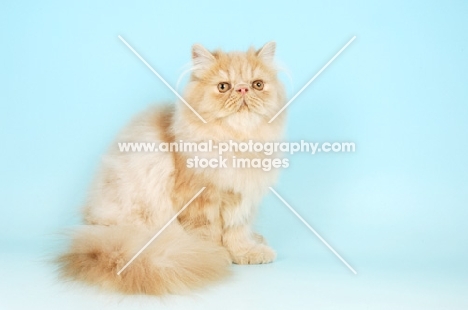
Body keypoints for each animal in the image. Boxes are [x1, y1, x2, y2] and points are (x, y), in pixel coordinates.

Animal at [57, 41, 288, 296]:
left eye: (257, 85)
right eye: (223, 87)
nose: (243, 90)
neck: (237, 141)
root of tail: (96, 233)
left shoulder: (241, 198)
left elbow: (237, 232)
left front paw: (245, 252)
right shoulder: (198, 200)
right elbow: (206, 233)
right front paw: (211, 255)